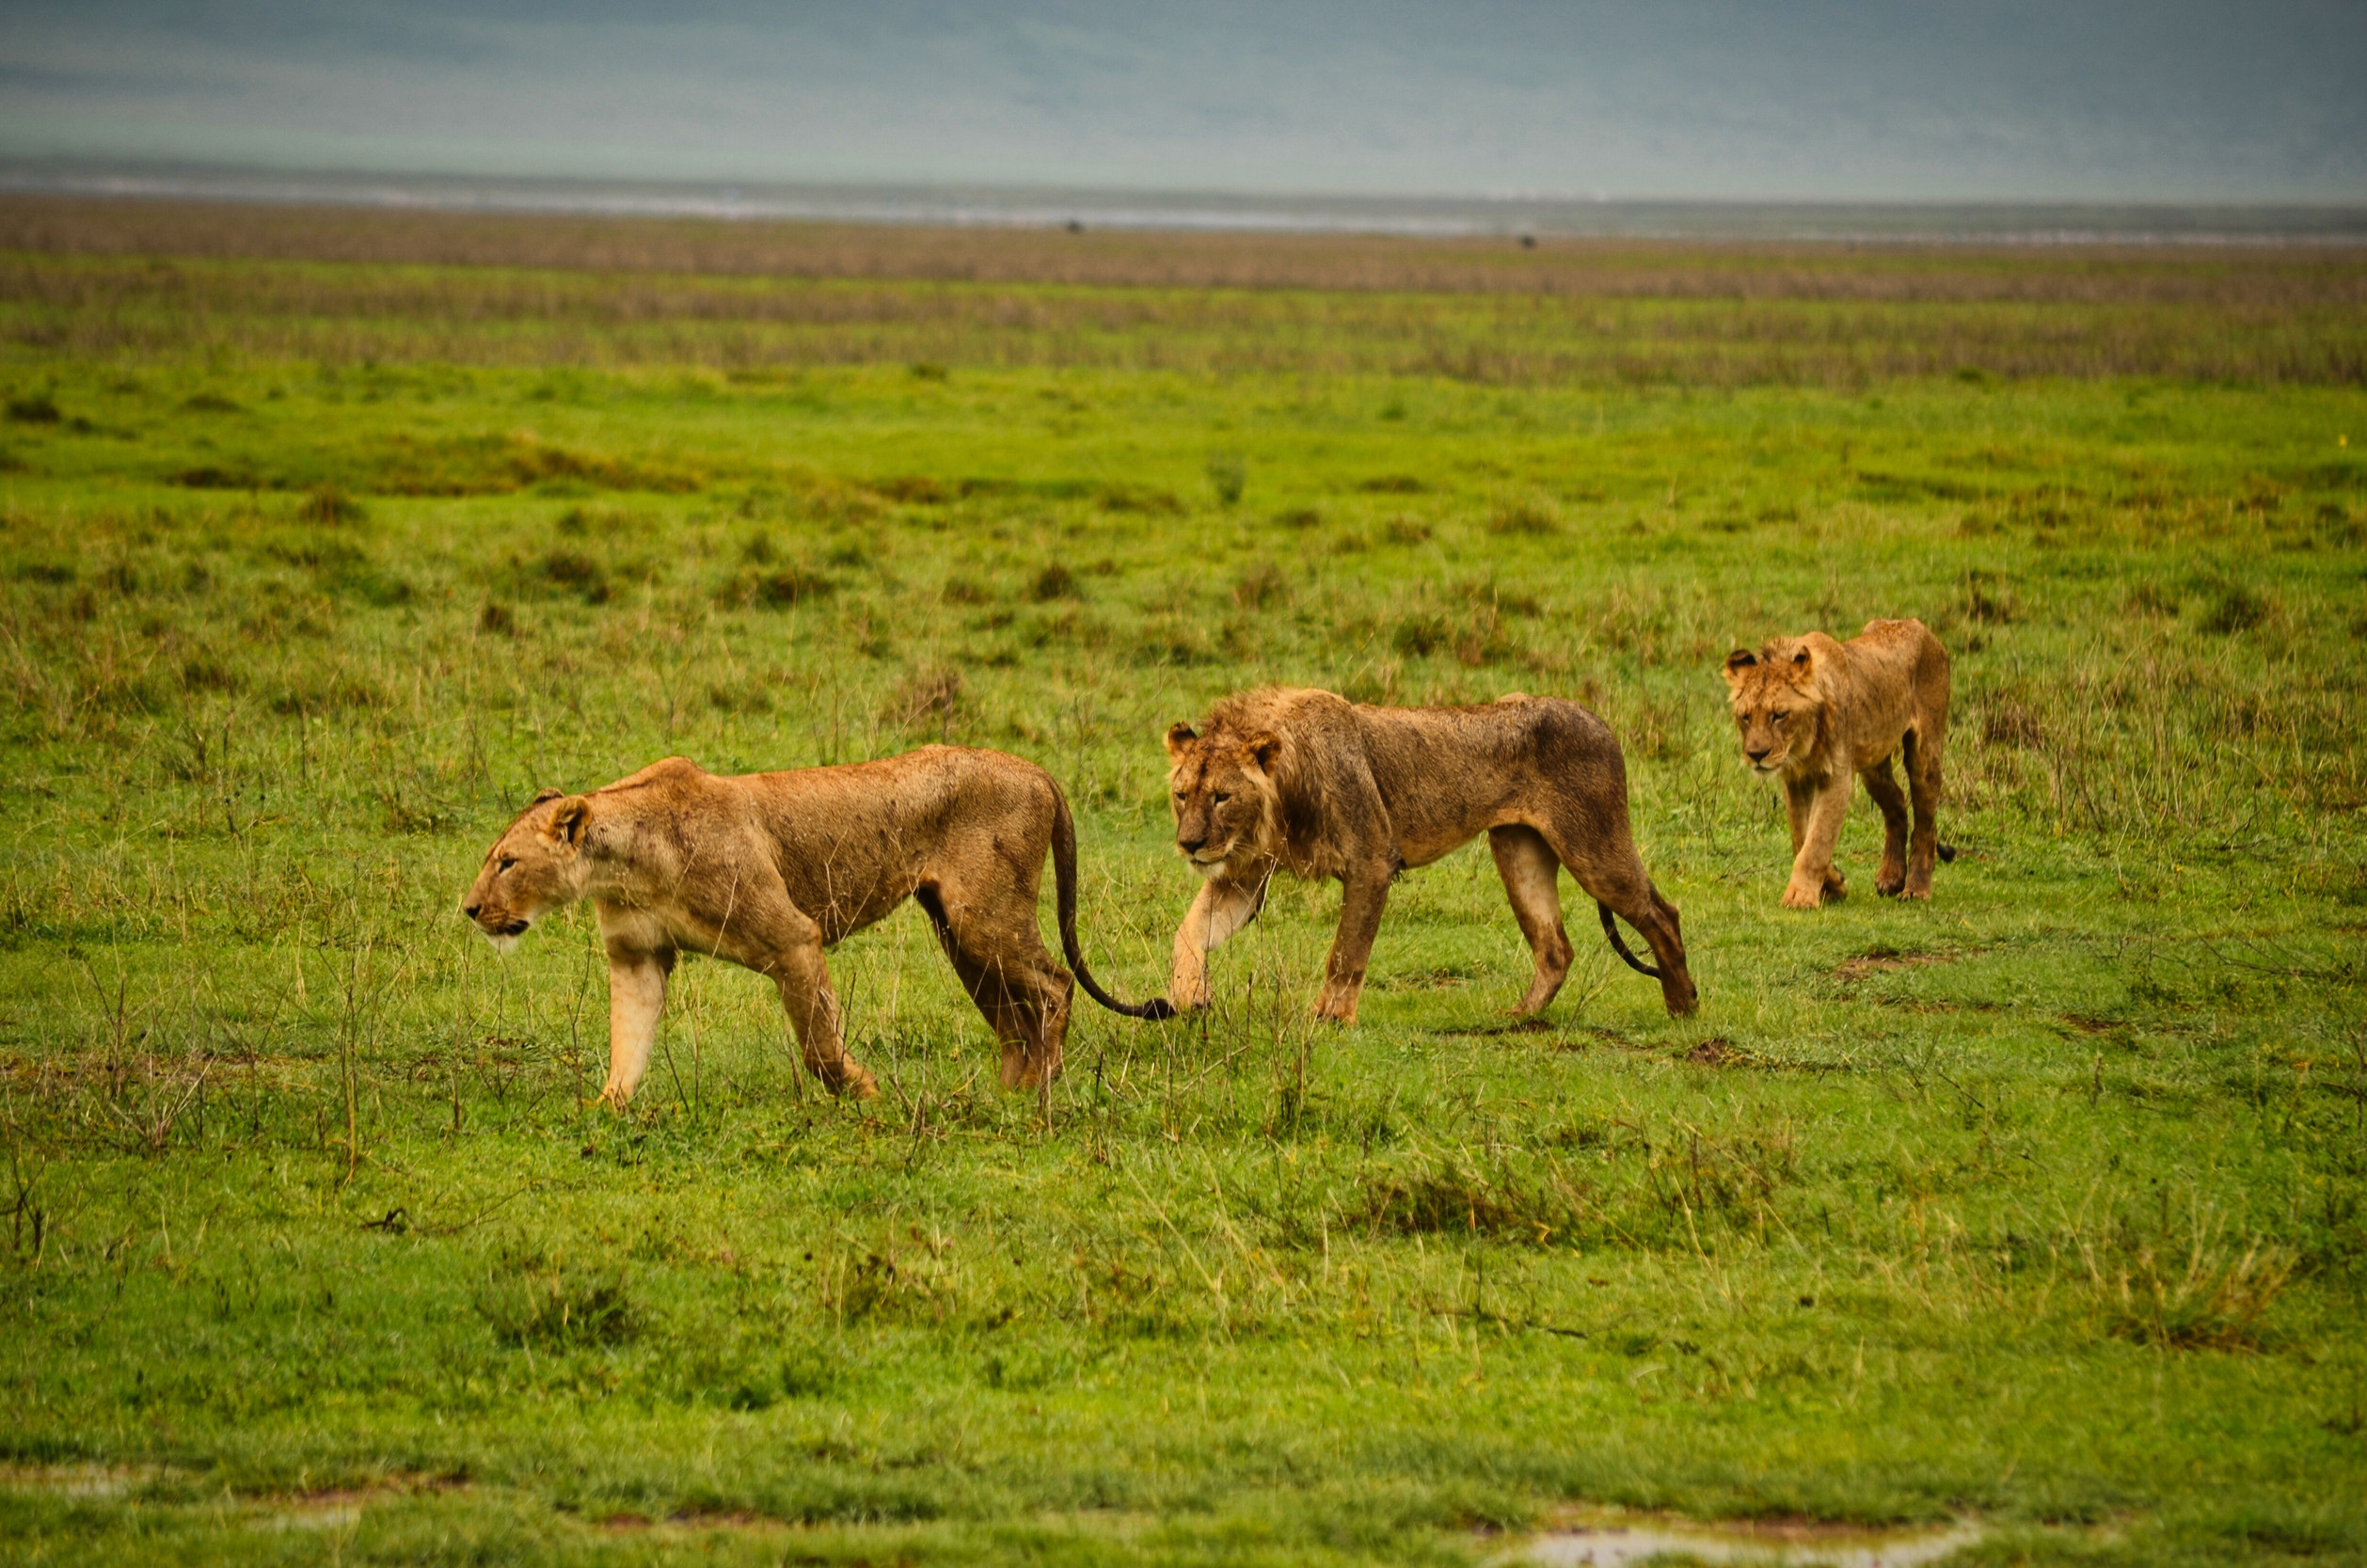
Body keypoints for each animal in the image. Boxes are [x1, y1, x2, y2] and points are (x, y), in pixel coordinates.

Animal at [456, 747, 1168, 1101]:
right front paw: (609, 1108)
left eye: (506, 861)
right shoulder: (638, 955)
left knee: (1053, 984)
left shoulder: (792, 937)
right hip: (957, 929)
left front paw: (865, 1094)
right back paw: (1006, 1093)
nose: (469, 908)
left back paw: (1041, 1090)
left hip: (983, 914)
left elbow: (818, 1044)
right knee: (1009, 1011)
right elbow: (627, 1041)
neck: (621, 863)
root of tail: (1039, 770)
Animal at [1154, 690, 1694, 1031]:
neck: (1283, 797)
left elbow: (1346, 954)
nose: (1190, 844)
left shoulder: (1372, 860)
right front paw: (1189, 996)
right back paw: (1518, 1019)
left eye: (1222, 797)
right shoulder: (1244, 876)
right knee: (1555, 947)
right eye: (1182, 796)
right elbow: (1188, 931)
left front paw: (1329, 1020)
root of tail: (1596, 718)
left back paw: (1682, 1006)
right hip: (1518, 851)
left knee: (1663, 914)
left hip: (1593, 846)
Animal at [1723, 614, 1960, 908]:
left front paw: (1800, 897)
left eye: (1779, 715)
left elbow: (1817, 841)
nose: (1756, 755)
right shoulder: (1795, 780)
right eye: (1745, 716)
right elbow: (1801, 837)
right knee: (1897, 803)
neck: (1802, 746)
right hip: (1873, 764)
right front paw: (1834, 884)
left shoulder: (1837, 778)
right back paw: (1891, 877)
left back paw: (1916, 890)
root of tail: (1913, 622)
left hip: (1925, 752)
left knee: (1926, 825)